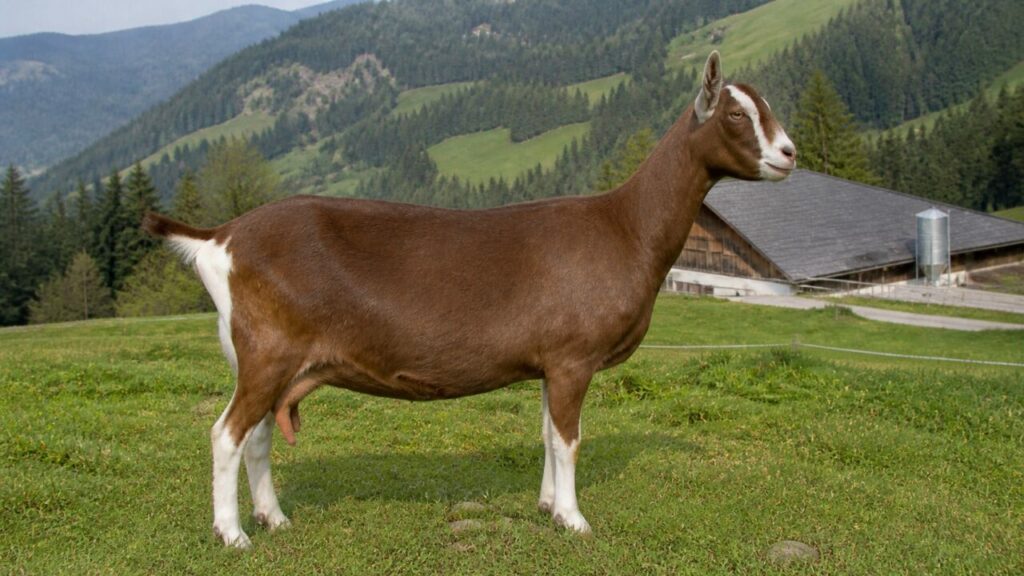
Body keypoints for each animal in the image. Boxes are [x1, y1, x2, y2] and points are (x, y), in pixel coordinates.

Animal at [143, 51, 796, 548]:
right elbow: (569, 439)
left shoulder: (550, 362)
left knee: (255, 436)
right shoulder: (573, 358)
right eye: (736, 113)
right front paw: (574, 520)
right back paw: (233, 535)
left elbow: (548, 434)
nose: (789, 153)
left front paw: (545, 506)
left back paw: (273, 518)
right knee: (226, 435)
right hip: (268, 351)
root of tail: (221, 237)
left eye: (766, 106)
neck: (626, 228)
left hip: (261, 358)